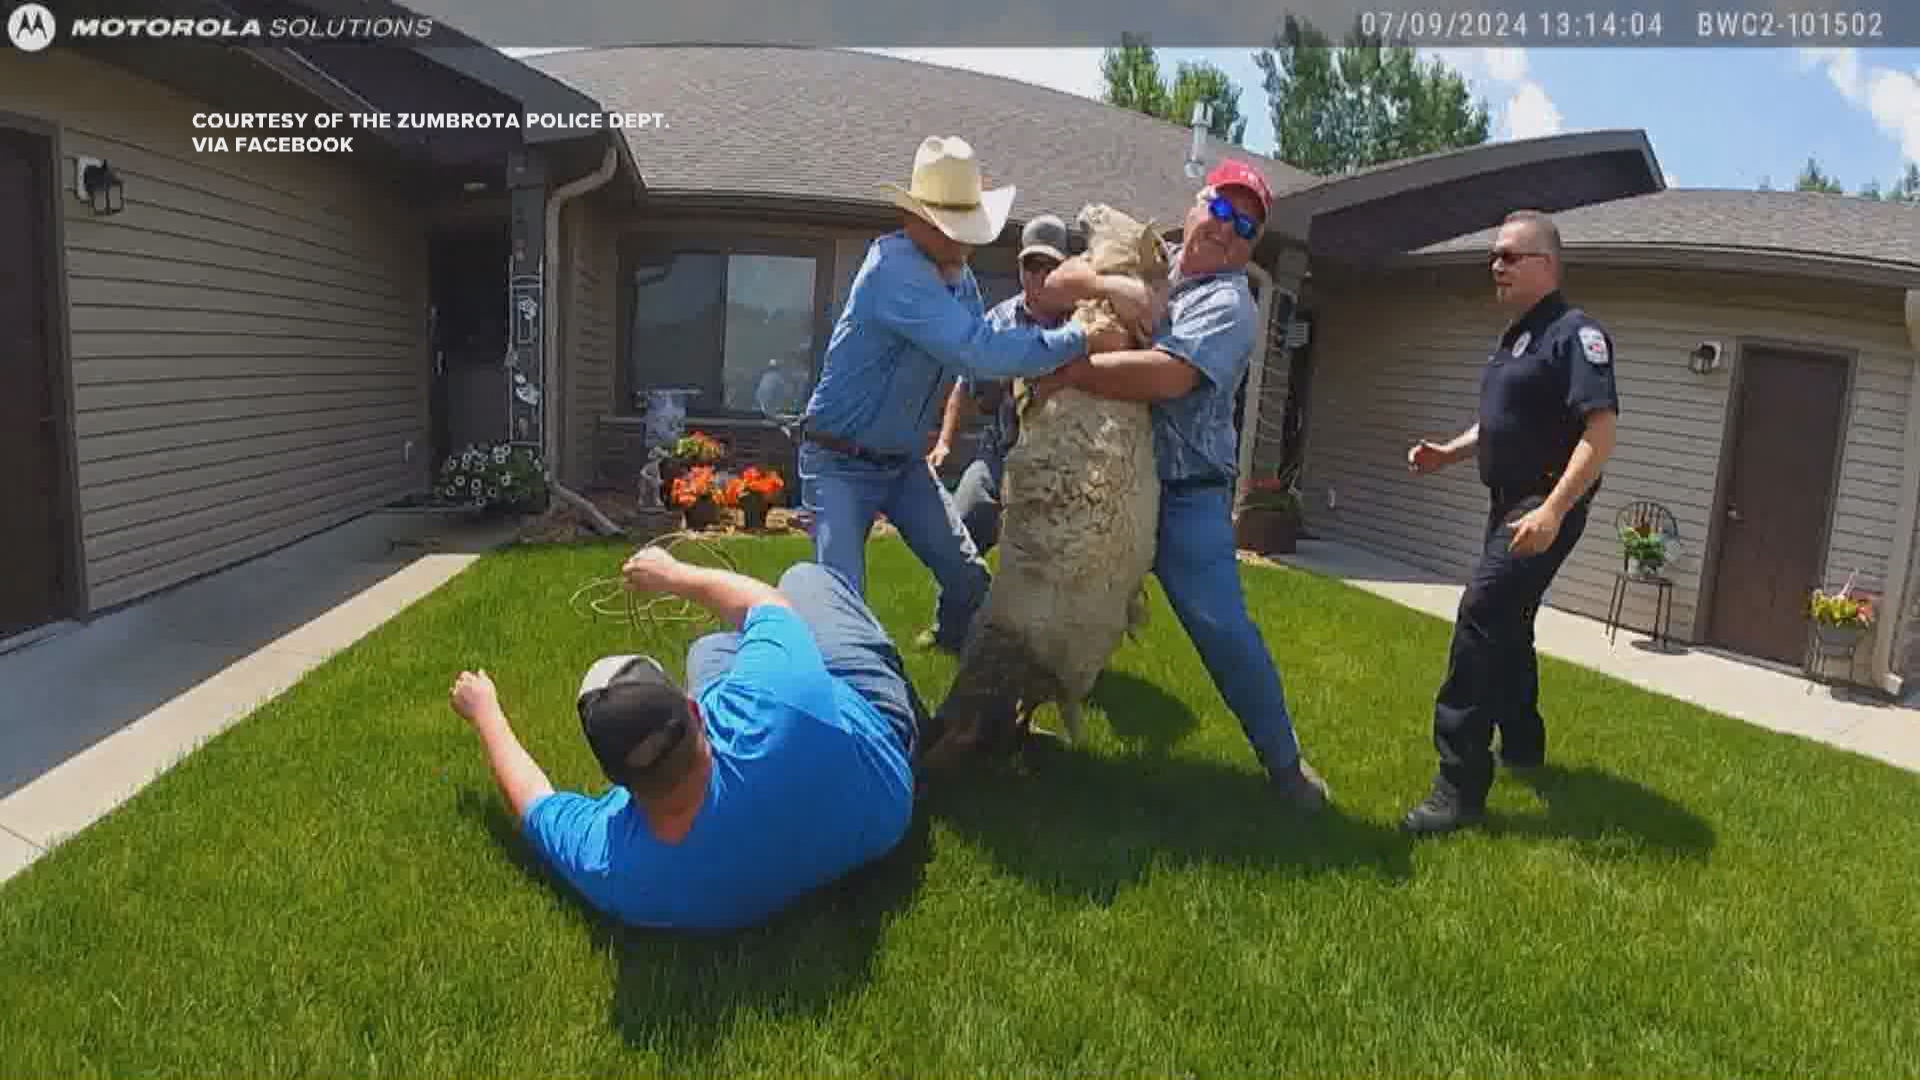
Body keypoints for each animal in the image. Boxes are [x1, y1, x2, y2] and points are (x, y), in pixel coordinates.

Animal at [917, 203, 1167, 764]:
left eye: (1116, 220)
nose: (1088, 210)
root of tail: (1059, 678)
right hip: (1027, 674)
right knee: (1014, 716)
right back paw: (1021, 751)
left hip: (994, 649)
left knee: (970, 719)